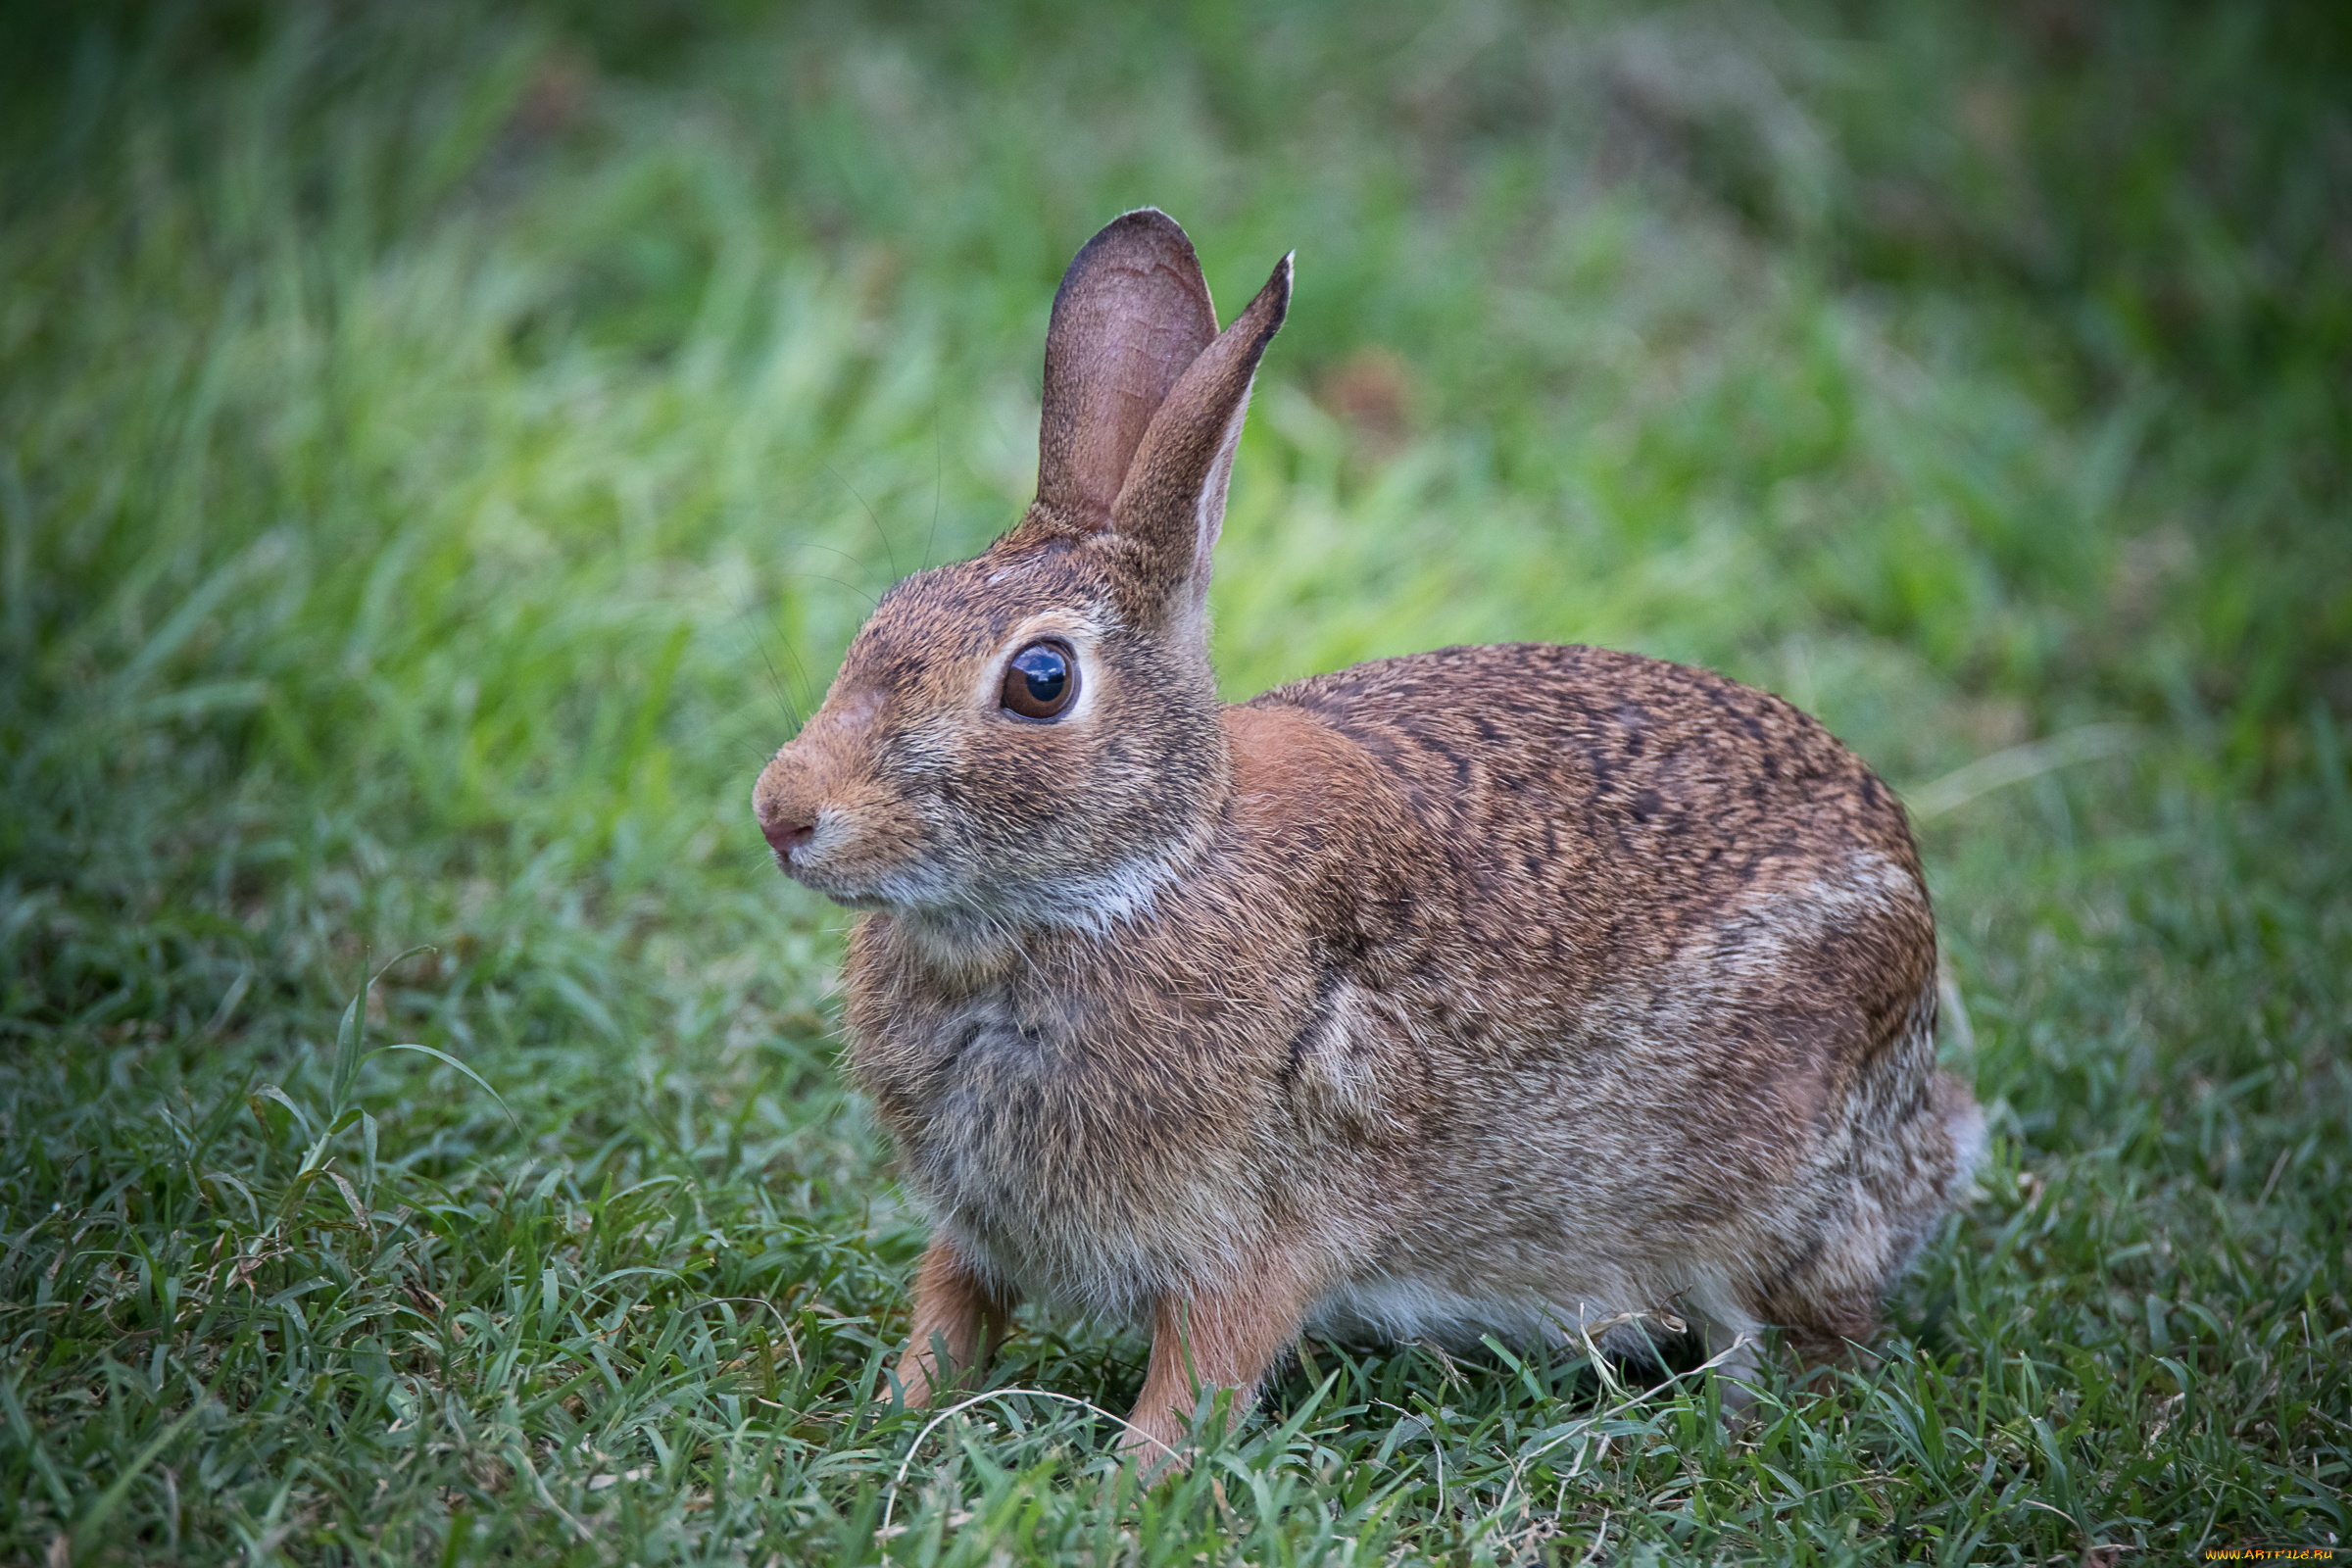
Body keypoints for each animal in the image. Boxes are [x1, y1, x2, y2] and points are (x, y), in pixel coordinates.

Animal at [757, 208, 1984, 1476]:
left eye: (1041, 682)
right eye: (888, 612)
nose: (782, 811)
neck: (1138, 876)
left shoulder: (1255, 1237)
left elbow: (1201, 1372)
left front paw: (1130, 1484)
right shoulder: (977, 1229)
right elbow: (949, 1312)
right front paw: (894, 1410)